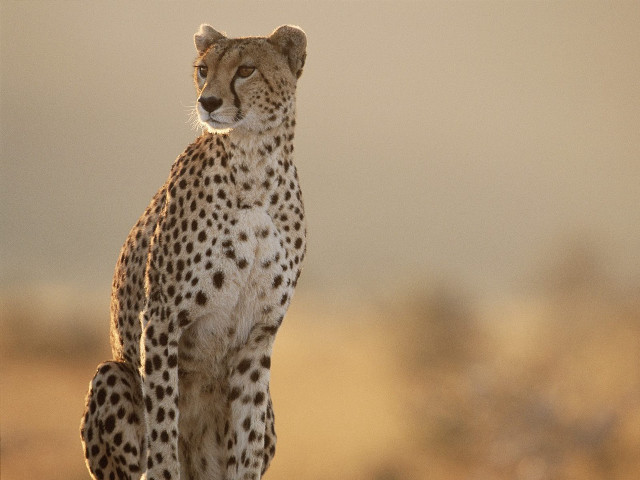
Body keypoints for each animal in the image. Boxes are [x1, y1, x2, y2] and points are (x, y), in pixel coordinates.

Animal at [80, 23, 307, 480]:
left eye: (246, 70)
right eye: (203, 69)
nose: (208, 101)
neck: (255, 167)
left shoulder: (258, 336)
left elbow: (247, 436)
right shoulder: (162, 318)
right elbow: (163, 420)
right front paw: (166, 464)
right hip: (112, 373)